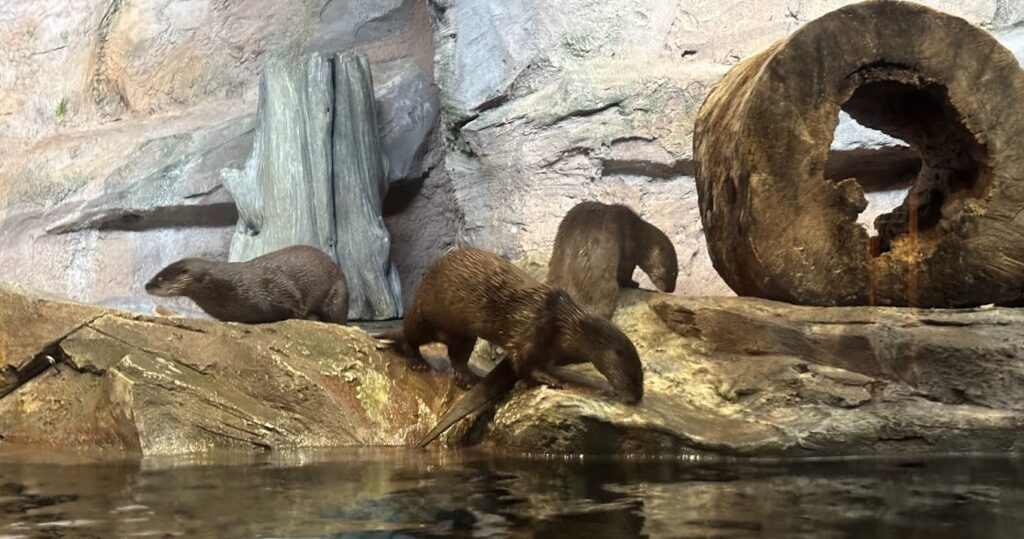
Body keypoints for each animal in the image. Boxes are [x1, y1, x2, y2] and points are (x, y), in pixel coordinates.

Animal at [145, 245, 349, 324]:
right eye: (156, 275)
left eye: (160, 278)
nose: (146, 285)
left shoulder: (276, 287)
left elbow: (296, 305)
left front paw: (305, 317)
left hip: (337, 296)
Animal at [376, 247, 643, 447]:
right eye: (632, 377)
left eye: (641, 377)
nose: (638, 396)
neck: (566, 327)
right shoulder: (531, 333)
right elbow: (521, 363)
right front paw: (547, 378)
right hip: (427, 313)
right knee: (410, 335)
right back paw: (417, 361)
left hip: (464, 335)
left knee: (457, 355)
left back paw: (466, 377)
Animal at [547, 201, 678, 319]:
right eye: (673, 273)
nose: (671, 289)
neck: (637, 234)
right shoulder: (628, 250)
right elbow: (625, 273)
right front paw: (634, 283)